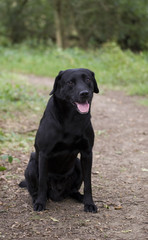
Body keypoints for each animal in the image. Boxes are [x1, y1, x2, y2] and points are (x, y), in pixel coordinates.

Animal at [19, 68, 99, 213]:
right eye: (70, 82)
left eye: (88, 79)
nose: (84, 93)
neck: (72, 119)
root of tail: (58, 194)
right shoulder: (44, 154)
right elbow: (42, 183)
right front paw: (40, 203)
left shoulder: (87, 153)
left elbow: (88, 183)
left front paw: (89, 203)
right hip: (32, 164)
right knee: (34, 189)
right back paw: (36, 199)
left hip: (77, 163)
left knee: (73, 190)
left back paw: (80, 197)